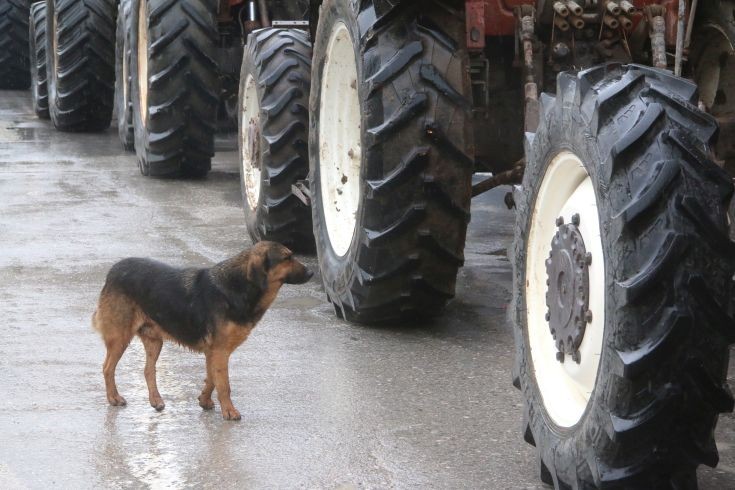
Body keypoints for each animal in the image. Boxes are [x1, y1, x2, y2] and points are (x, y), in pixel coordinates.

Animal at [92, 241, 310, 422]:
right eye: (287, 258)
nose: (311, 273)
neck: (238, 285)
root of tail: (113, 270)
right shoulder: (219, 351)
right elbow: (224, 385)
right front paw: (229, 411)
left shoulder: (213, 352)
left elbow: (212, 379)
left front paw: (204, 401)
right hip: (120, 337)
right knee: (107, 368)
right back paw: (114, 398)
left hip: (155, 340)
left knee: (148, 370)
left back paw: (156, 400)